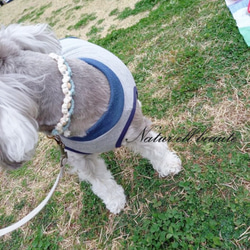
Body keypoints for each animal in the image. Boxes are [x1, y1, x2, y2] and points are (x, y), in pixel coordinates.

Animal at [0, 24, 181, 214]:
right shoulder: (82, 159)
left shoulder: (135, 131)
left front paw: (168, 164)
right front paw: (115, 200)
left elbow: (154, 148)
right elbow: (101, 181)